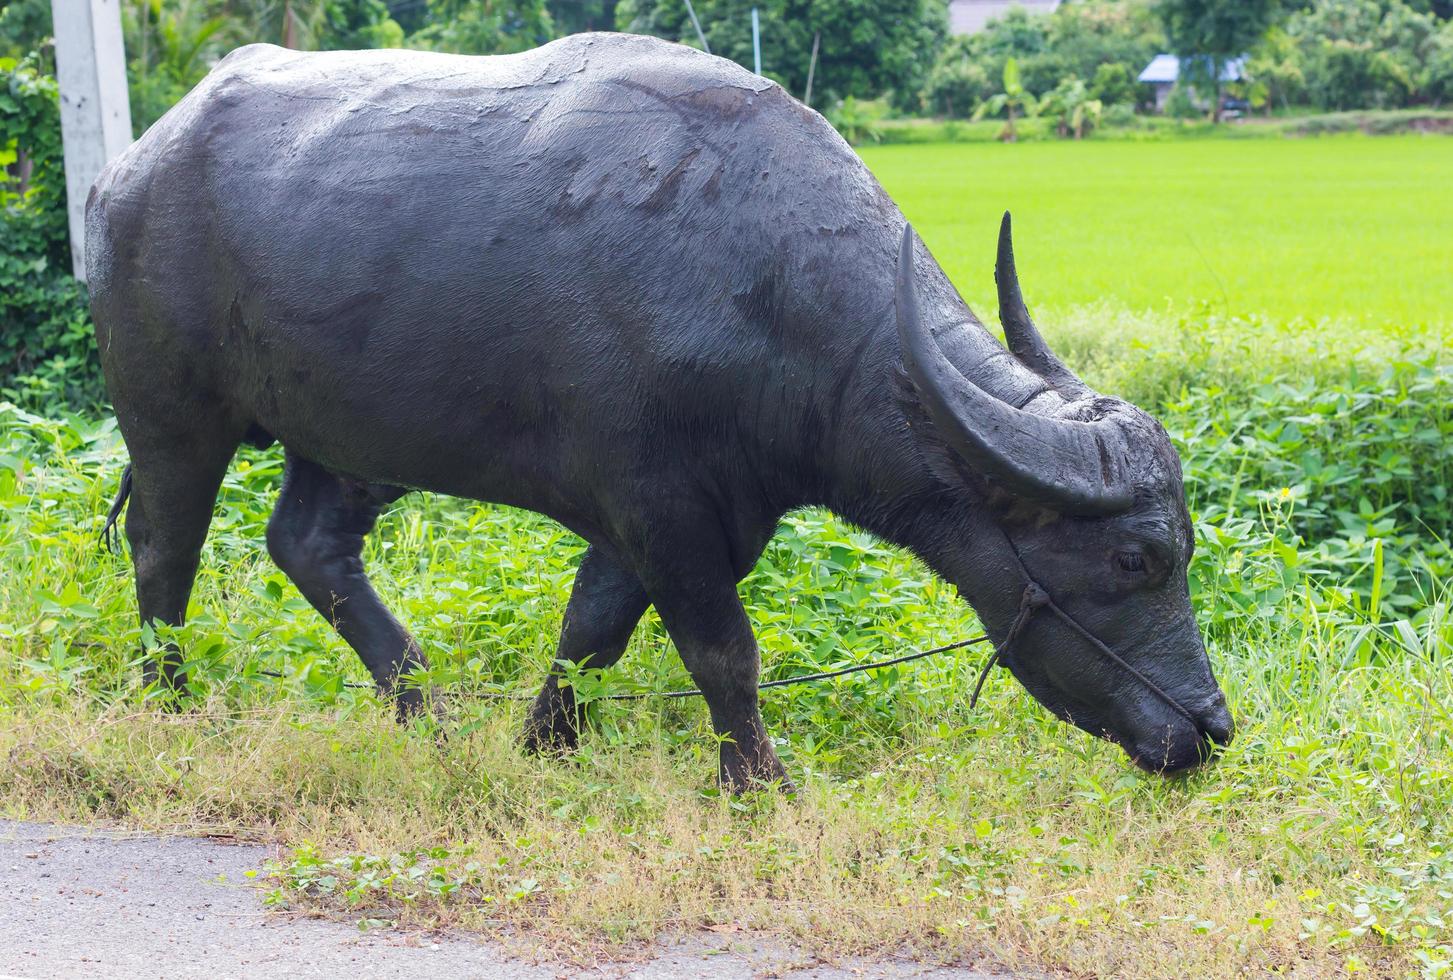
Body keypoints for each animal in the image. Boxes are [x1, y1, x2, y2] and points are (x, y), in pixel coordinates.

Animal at [87, 34, 1226, 790]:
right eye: (1135, 558)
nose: (1208, 729)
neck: (771, 286)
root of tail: (127, 170)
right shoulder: (660, 505)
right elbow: (722, 653)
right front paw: (760, 782)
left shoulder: (679, 512)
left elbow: (590, 631)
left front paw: (541, 744)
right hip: (170, 410)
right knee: (165, 549)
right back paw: (168, 699)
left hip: (342, 433)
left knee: (310, 543)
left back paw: (425, 707)